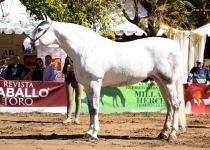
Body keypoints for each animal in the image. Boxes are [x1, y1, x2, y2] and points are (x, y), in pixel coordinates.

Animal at [23, 16, 186, 143]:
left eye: (40, 29)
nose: (24, 45)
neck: (86, 49)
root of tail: (174, 45)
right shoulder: (87, 85)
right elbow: (90, 108)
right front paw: (88, 132)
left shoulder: (95, 82)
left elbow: (95, 108)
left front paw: (94, 135)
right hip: (159, 81)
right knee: (169, 105)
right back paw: (162, 133)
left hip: (168, 81)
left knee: (175, 104)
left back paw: (172, 135)